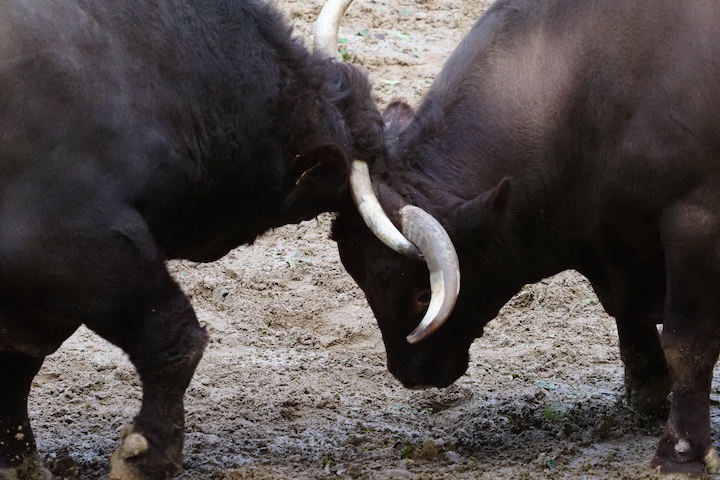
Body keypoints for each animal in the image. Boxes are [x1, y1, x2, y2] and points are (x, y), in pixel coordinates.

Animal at [334, 0, 720, 474]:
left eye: (423, 296)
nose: (408, 374)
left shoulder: (696, 216)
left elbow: (687, 342)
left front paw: (681, 452)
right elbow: (628, 315)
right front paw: (646, 389)